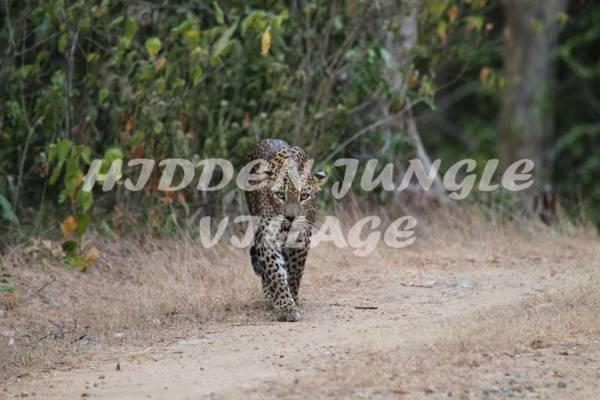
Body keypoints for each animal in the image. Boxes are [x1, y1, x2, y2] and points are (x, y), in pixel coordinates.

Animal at [244, 140, 326, 322]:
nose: (290, 217)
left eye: (304, 196)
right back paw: (270, 298)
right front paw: (285, 308)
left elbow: (295, 273)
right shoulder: (266, 236)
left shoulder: (302, 237)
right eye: (280, 195)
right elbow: (275, 271)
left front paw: (293, 301)